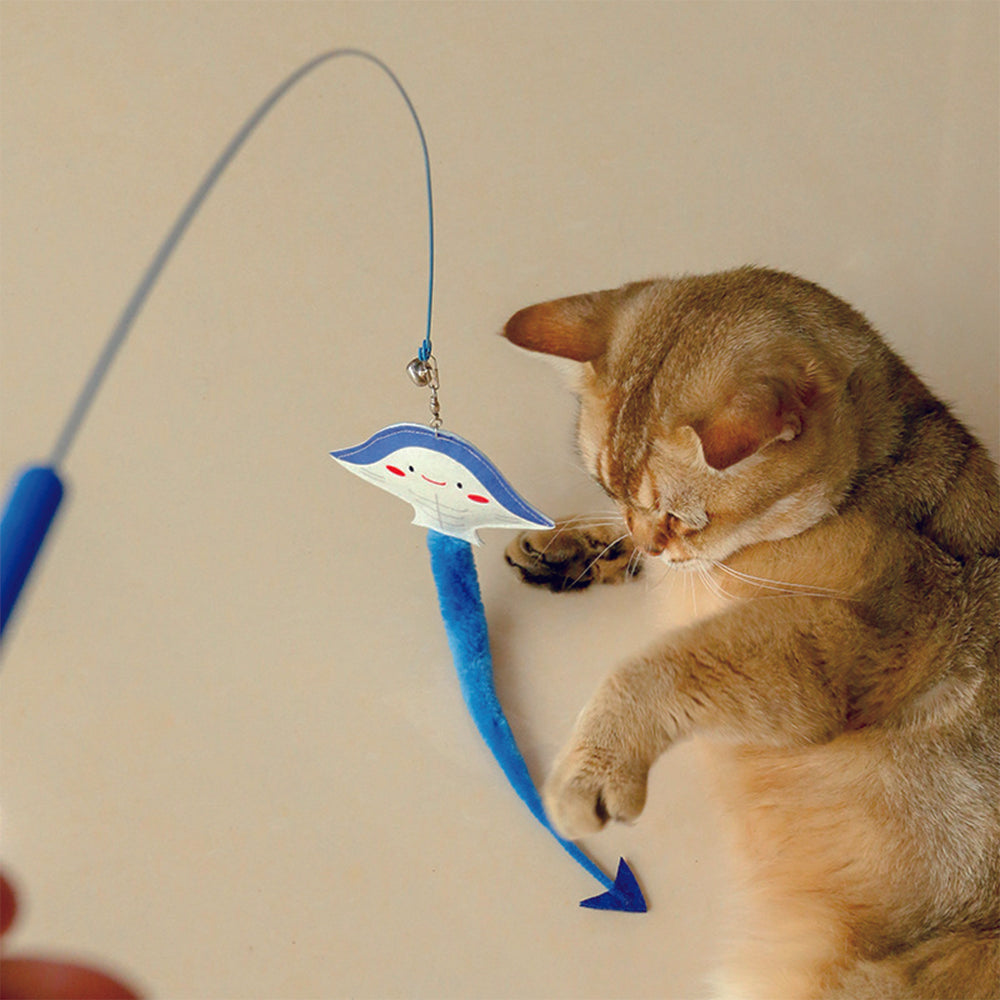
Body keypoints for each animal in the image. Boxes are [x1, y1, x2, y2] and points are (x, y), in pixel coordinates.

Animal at [501, 267, 999, 999]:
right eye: (607, 483)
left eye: (685, 517)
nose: (652, 538)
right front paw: (573, 545)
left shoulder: (826, 642)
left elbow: (653, 667)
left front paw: (590, 768)